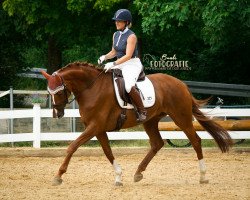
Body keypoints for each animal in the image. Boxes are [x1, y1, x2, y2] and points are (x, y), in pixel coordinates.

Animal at [40, 61, 232, 186]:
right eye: (49, 92)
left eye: (59, 92)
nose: (57, 113)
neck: (92, 88)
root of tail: (181, 84)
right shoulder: (98, 129)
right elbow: (108, 152)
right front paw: (118, 177)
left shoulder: (94, 127)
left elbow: (72, 146)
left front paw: (58, 175)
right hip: (150, 121)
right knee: (157, 143)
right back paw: (138, 172)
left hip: (181, 118)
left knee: (196, 141)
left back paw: (203, 176)